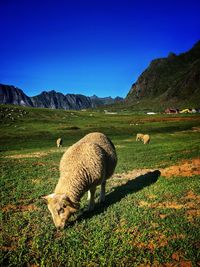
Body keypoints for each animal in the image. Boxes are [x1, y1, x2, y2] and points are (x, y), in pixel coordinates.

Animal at [0, 105, 200, 266]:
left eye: (61, 209)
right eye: (50, 212)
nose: (58, 229)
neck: (73, 173)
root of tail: (98, 131)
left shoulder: (93, 180)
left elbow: (92, 192)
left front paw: (91, 205)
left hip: (104, 174)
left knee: (103, 185)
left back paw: (102, 198)